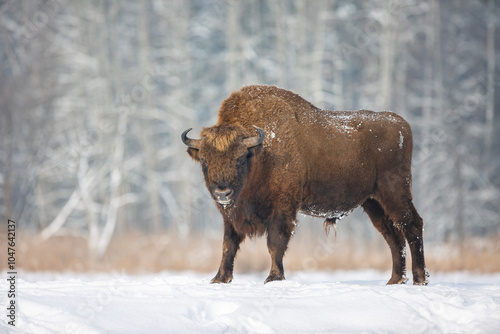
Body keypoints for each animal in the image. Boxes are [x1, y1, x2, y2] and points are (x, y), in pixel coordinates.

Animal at [182, 84, 428, 284]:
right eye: (204, 160)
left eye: (240, 158)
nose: (222, 193)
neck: (262, 152)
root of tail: (402, 125)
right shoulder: (232, 215)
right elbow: (228, 244)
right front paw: (219, 278)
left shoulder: (282, 208)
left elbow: (275, 242)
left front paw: (273, 278)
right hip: (372, 201)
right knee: (392, 234)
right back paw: (395, 280)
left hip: (394, 191)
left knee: (412, 225)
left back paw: (419, 279)